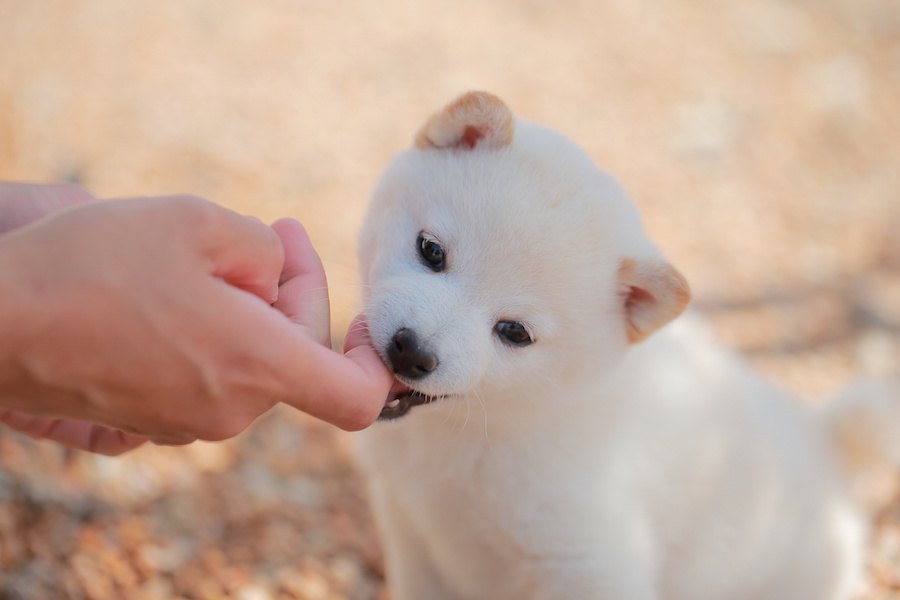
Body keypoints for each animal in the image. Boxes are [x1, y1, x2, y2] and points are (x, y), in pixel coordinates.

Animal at [356, 90, 896, 600]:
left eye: (514, 332)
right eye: (431, 250)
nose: (412, 350)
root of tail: (826, 439)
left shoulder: (588, 564)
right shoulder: (409, 528)